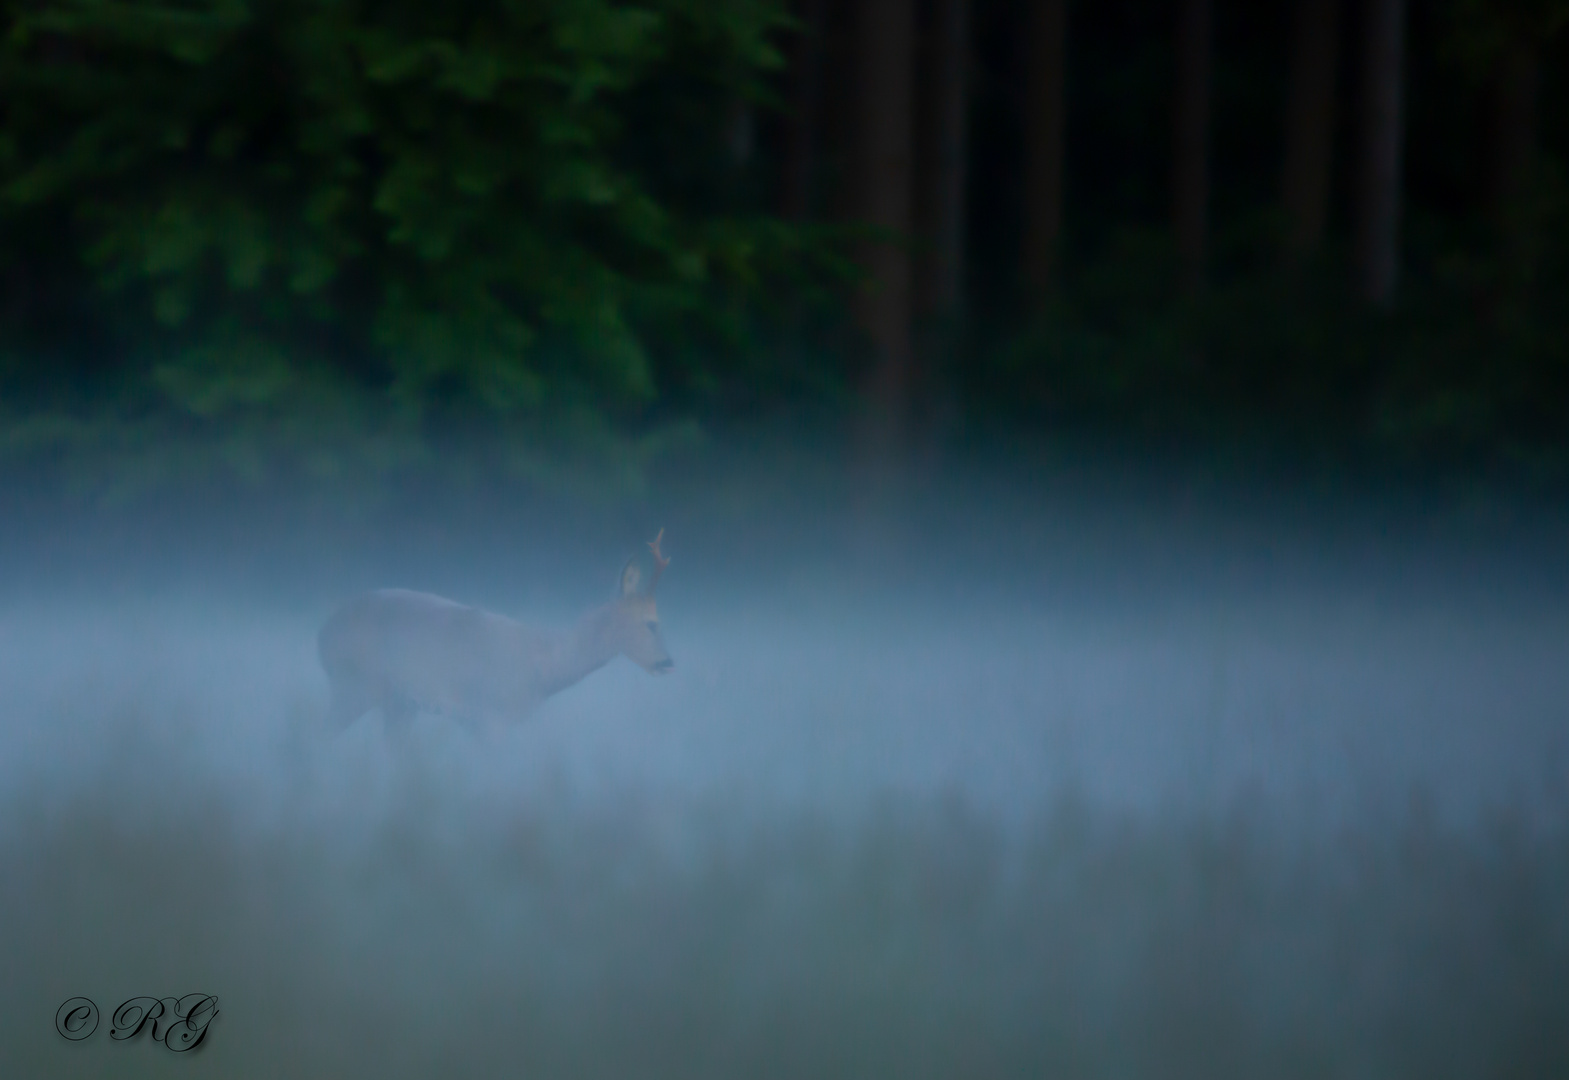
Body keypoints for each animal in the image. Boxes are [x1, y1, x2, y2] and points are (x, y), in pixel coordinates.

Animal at [321, 530, 671, 734]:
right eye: (651, 623)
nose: (668, 662)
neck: (546, 665)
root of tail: (321, 634)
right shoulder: (491, 716)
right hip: (353, 684)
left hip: (397, 703)